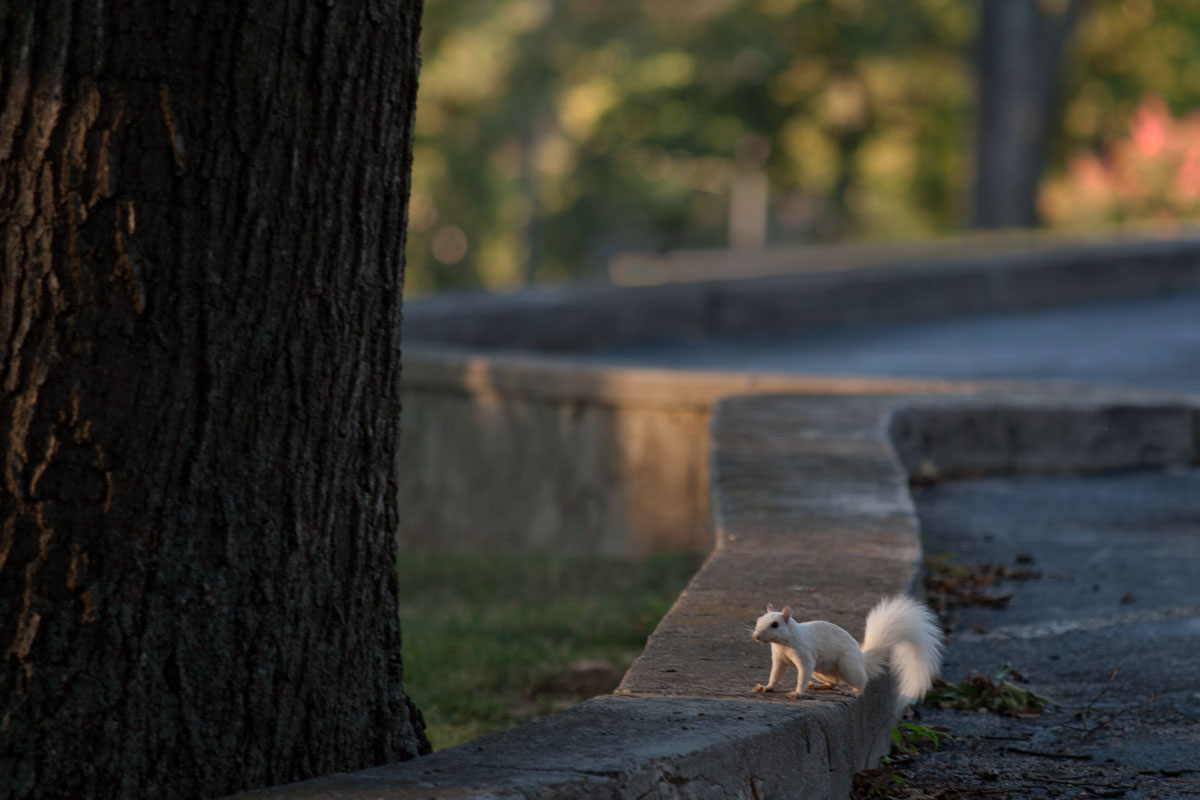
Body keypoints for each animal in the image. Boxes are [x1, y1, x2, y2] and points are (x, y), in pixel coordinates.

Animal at [744, 594, 940, 705]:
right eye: (758, 619)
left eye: (775, 624)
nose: (756, 636)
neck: (783, 644)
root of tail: (861, 660)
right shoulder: (779, 659)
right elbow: (775, 674)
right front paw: (766, 687)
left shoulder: (804, 655)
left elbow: (802, 673)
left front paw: (797, 693)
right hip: (821, 670)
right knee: (834, 682)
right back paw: (818, 685)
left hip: (847, 665)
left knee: (861, 681)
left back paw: (853, 691)